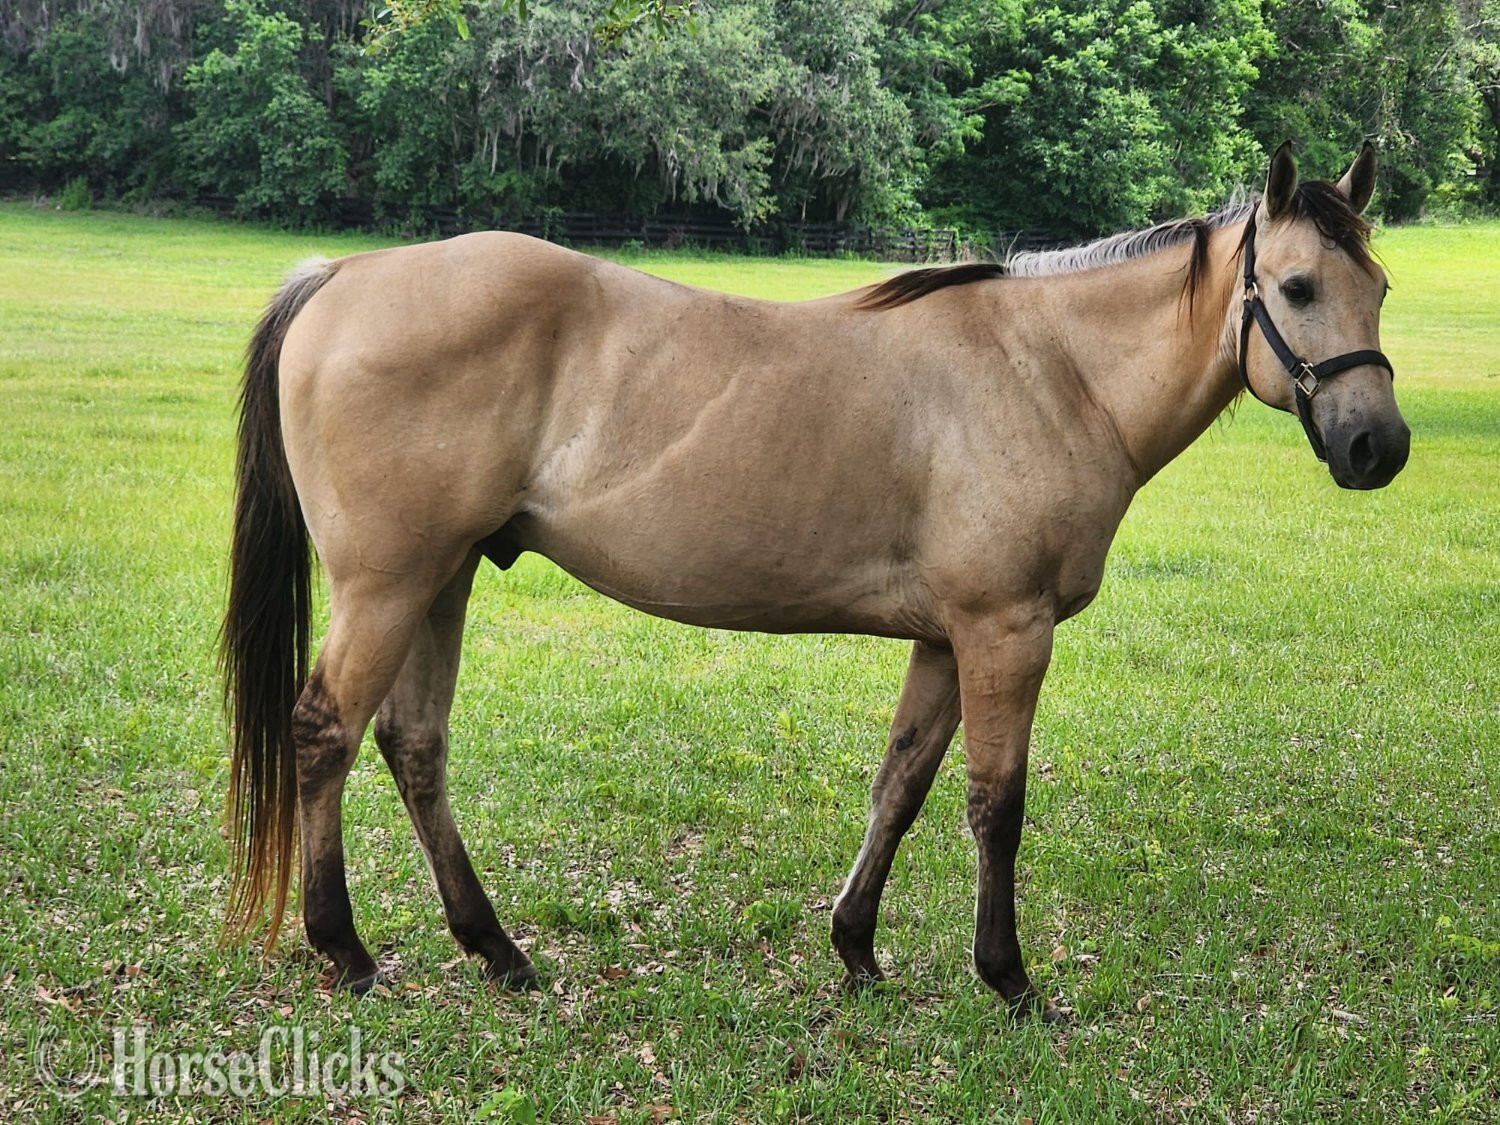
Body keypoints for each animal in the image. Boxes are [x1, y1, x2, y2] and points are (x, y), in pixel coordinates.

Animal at [222, 143, 1408, 1019]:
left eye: (1380, 288)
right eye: (1298, 287)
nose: (1378, 447)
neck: (1052, 370)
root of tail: (346, 276)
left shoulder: (946, 637)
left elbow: (902, 785)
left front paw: (857, 948)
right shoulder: (1006, 631)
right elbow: (996, 805)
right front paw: (1008, 978)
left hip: (444, 578)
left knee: (414, 746)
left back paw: (496, 948)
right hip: (389, 584)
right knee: (325, 733)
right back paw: (346, 950)